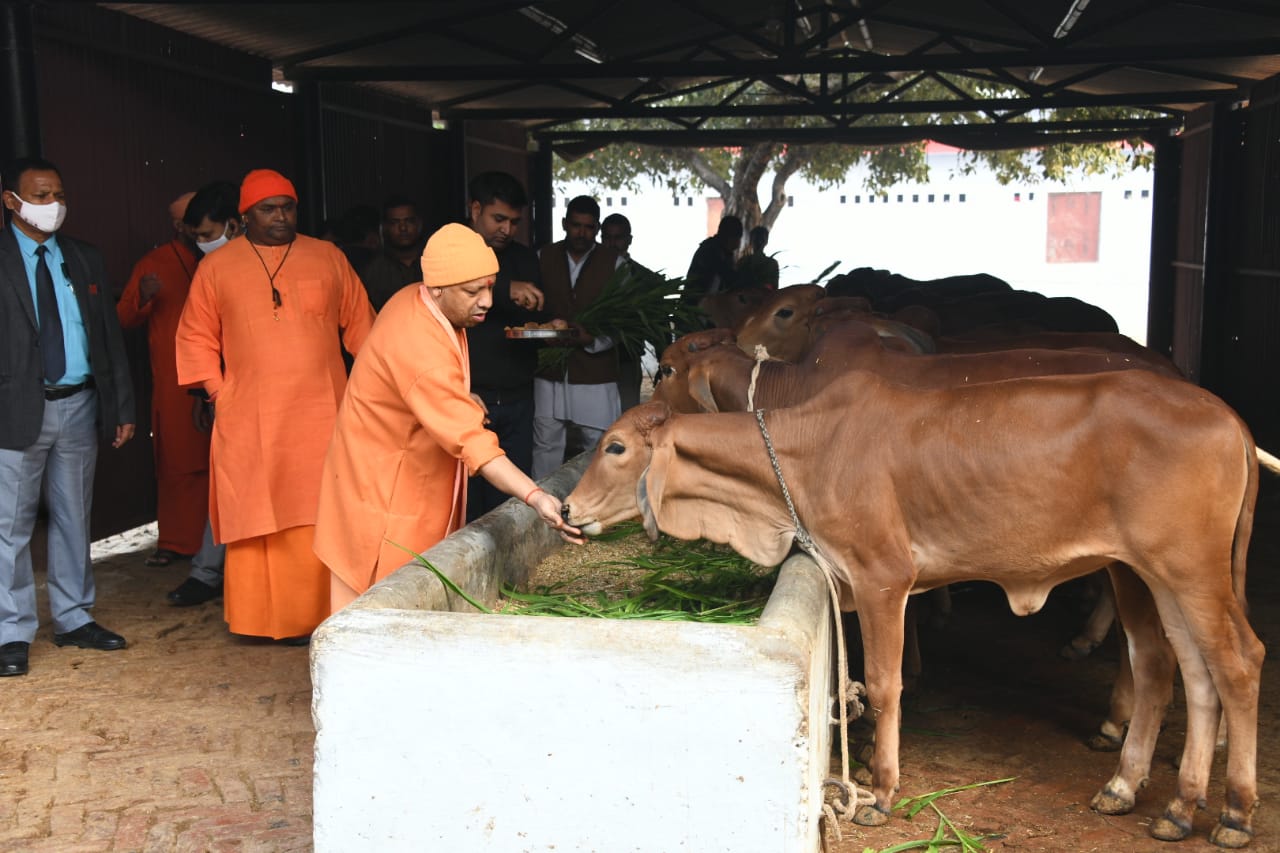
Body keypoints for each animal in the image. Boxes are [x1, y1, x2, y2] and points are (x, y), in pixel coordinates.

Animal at [565, 371, 1264, 845]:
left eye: (617, 448)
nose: (567, 508)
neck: (806, 450)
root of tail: (1229, 415)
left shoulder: (883, 577)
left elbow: (884, 684)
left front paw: (880, 792)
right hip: (1155, 575)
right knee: (1184, 670)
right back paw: (1163, 802)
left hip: (1190, 569)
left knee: (1238, 664)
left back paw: (1232, 811)